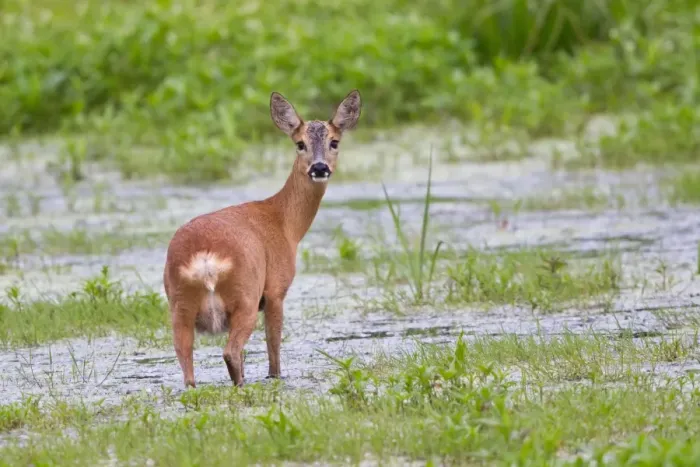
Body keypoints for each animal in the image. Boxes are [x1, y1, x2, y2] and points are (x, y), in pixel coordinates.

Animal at [163, 90, 362, 388]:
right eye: (300, 144)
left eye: (334, 142)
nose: (319, 167)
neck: (285, 224)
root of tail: (205, 260)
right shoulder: (276, 289)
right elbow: (274, 349)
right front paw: (276, 377)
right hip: (244, 295)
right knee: (231, 352)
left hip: (178, 304)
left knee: (187, 364)